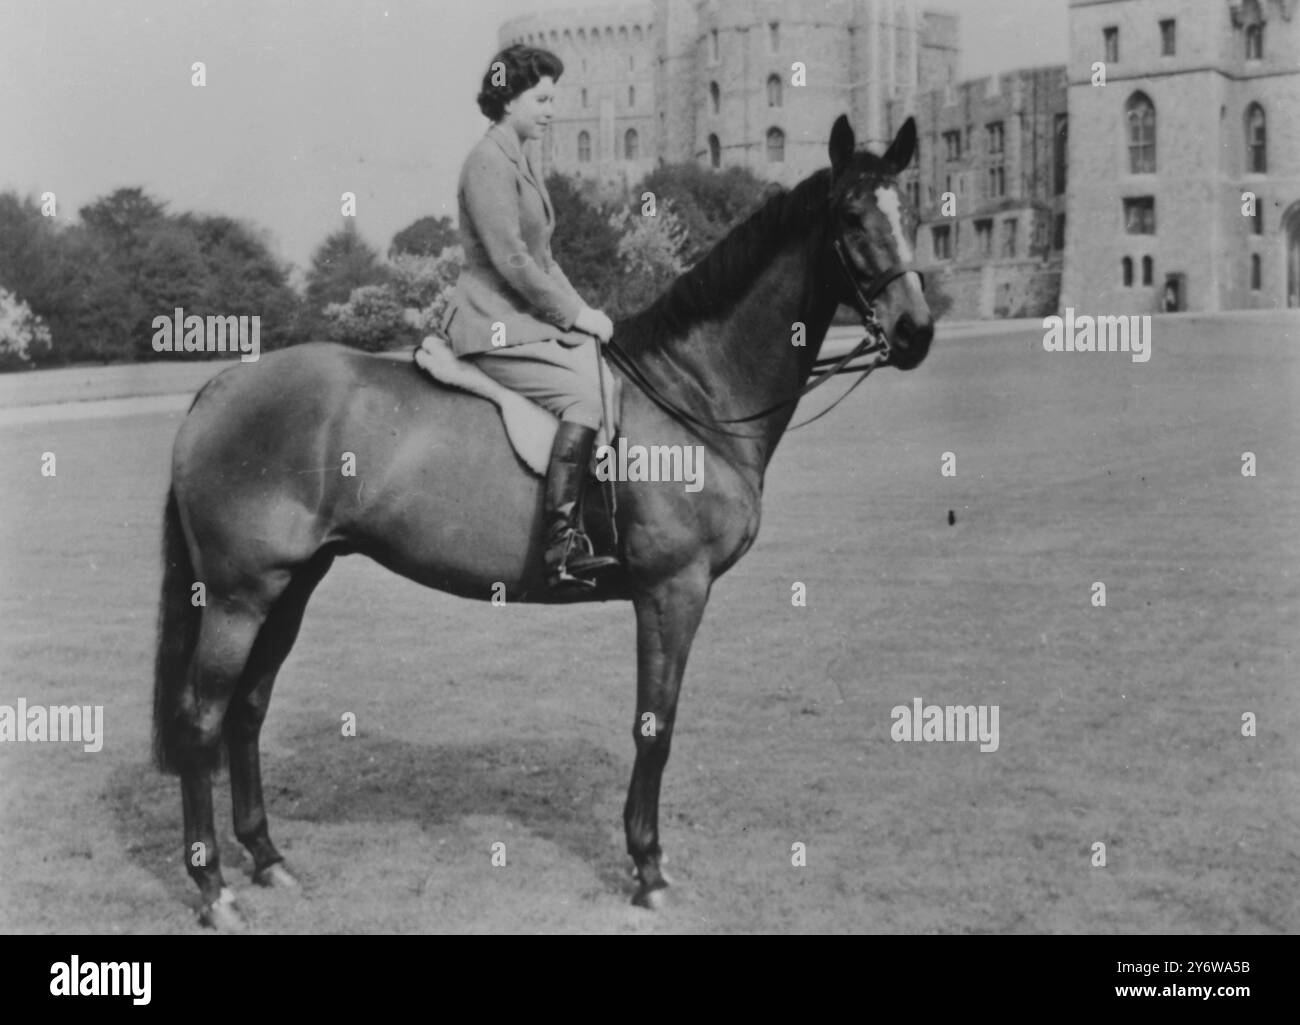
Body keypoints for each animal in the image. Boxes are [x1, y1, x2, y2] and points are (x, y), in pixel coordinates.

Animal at [152, 114, 933, 930]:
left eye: (911, 212)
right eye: (852, 217)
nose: (917, 331)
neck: (694, 393)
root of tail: (219, 385)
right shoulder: (673, 590)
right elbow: (655, 726)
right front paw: (648, 869)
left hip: (292, 584)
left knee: (247, 710)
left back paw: (267, 858)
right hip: (240, 596)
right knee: (202, 721)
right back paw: (214, 887)